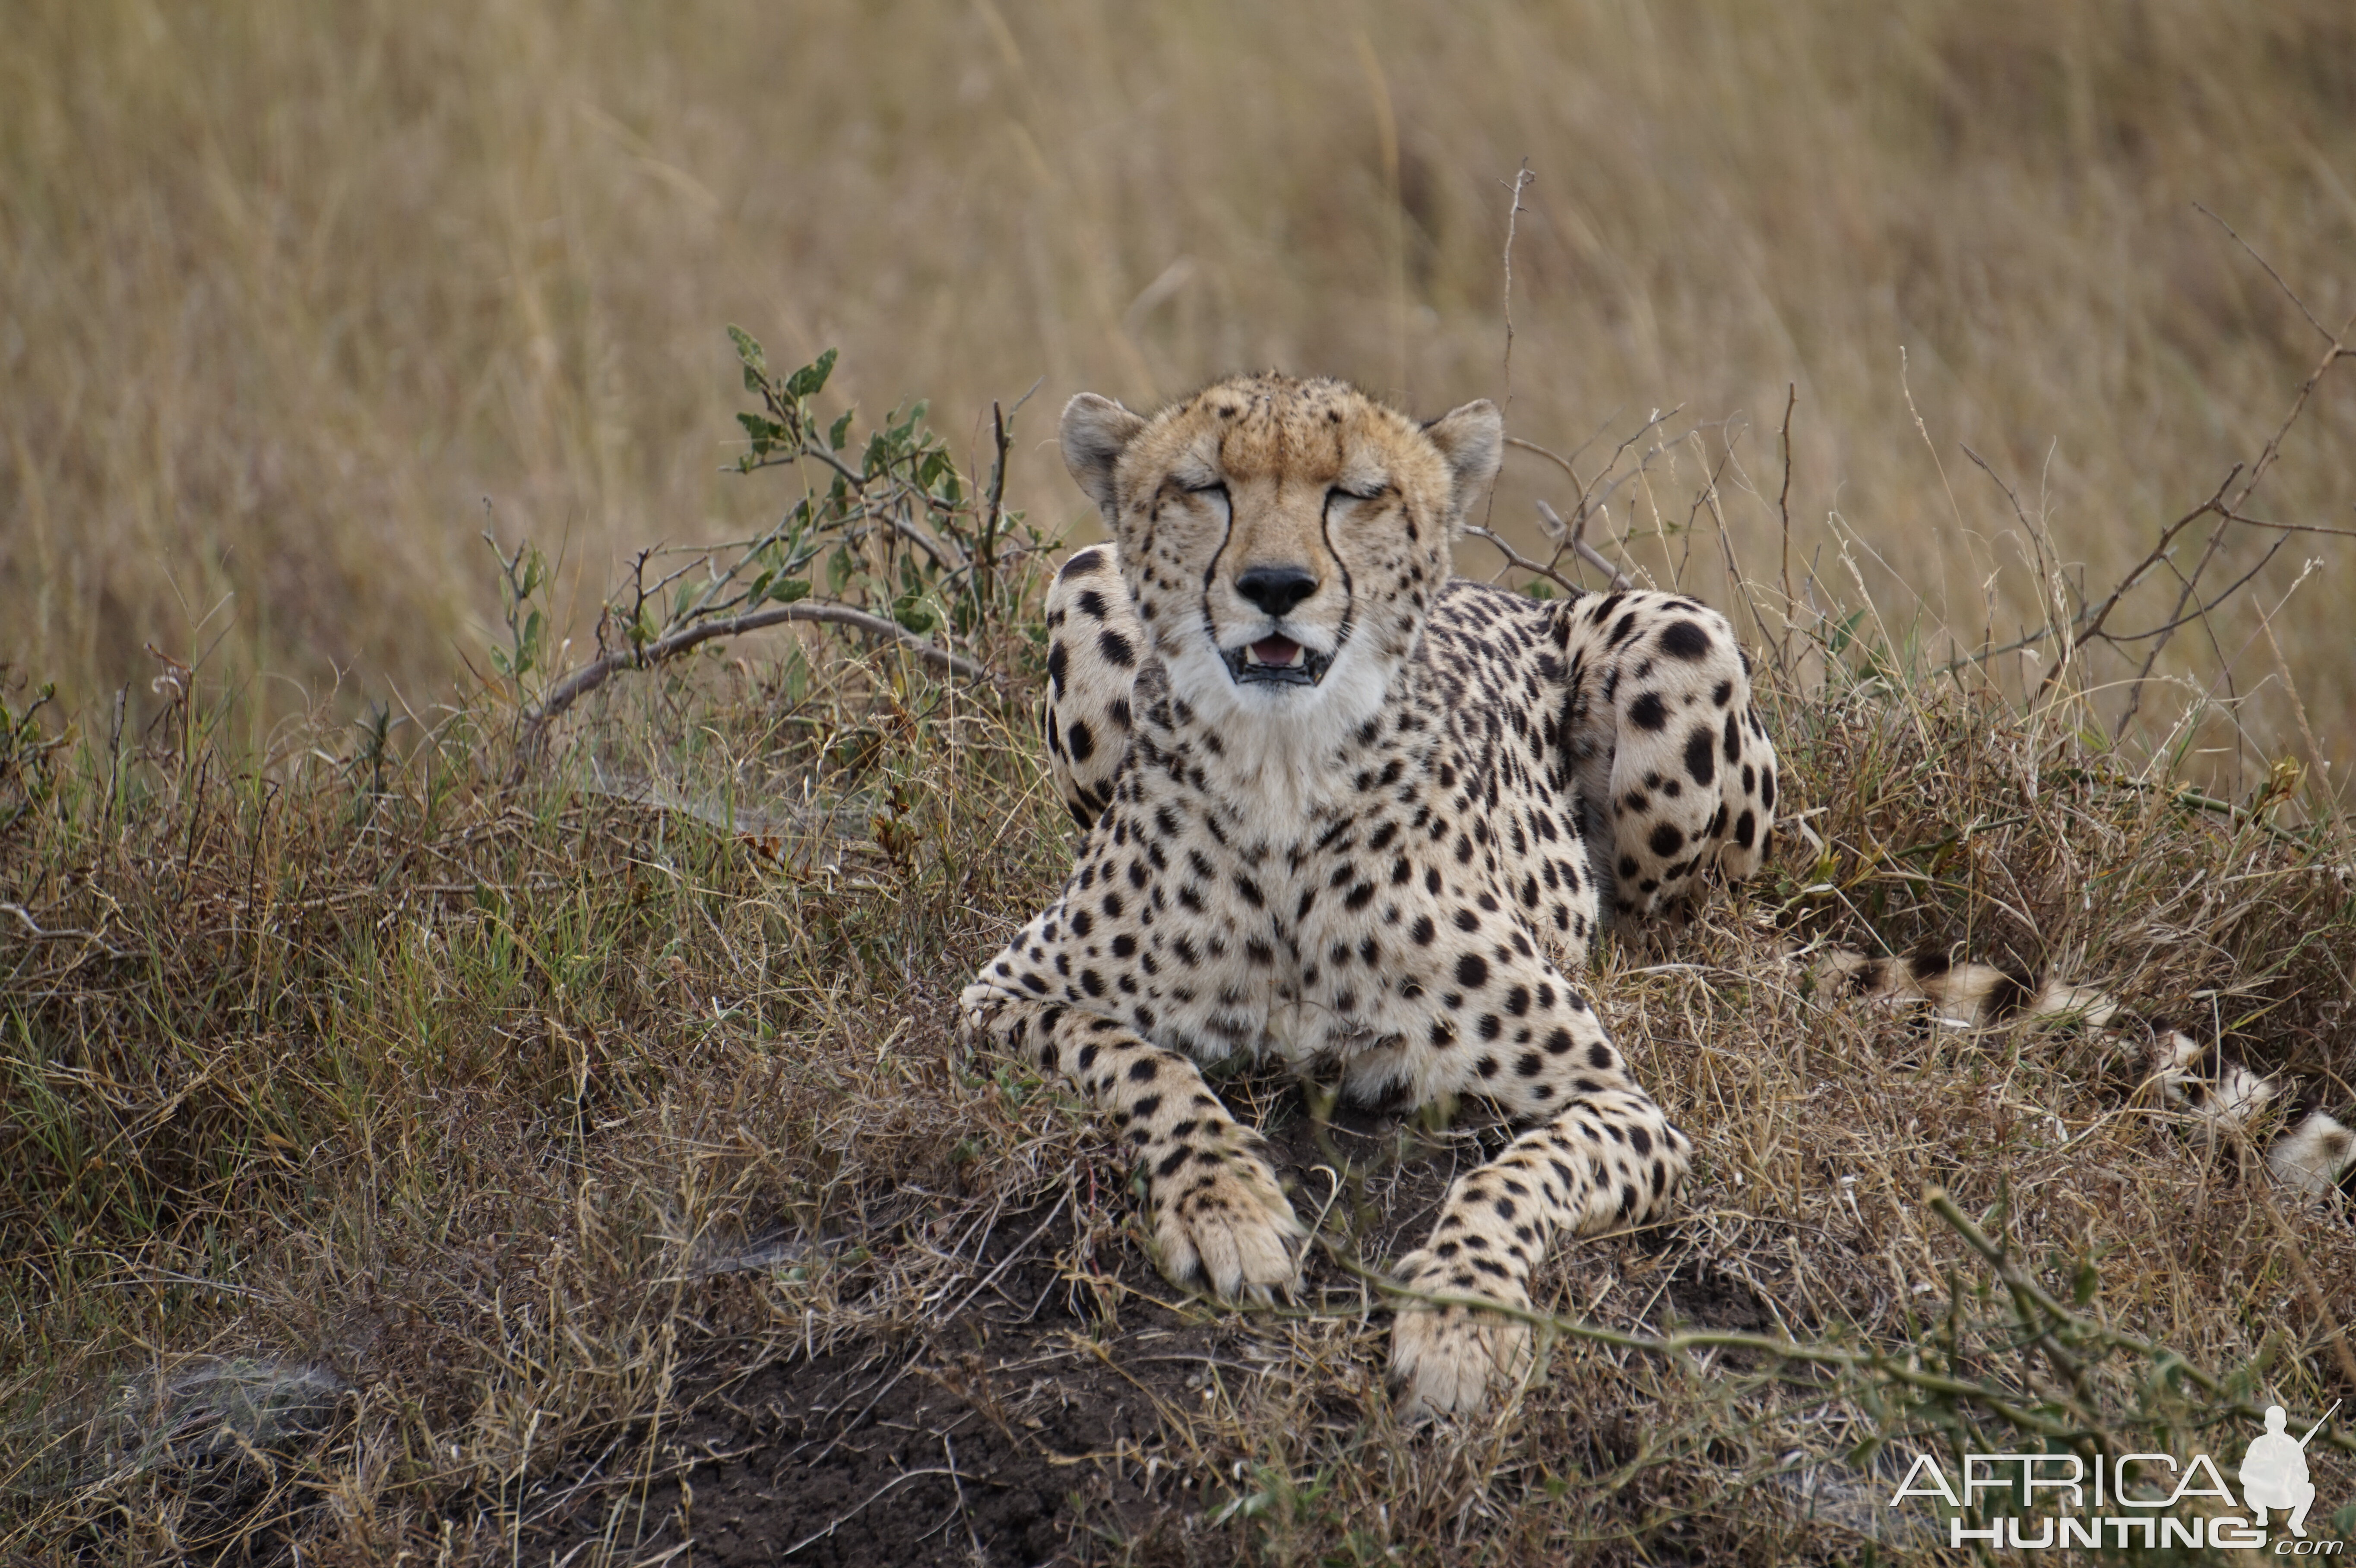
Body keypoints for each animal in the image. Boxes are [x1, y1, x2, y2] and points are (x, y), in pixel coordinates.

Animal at [947, 370, 1771, 1413]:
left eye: (1356, 493)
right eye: (1203, 487)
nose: (1275, 587)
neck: (1283, 775)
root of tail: (1509, 591)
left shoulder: (1620, 1104)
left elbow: (1522, 1172)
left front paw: (1461, 1321)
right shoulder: (999, 996)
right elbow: (1146, 1066)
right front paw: (1228, 1211)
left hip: (1684, 635)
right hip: (1083, 576)